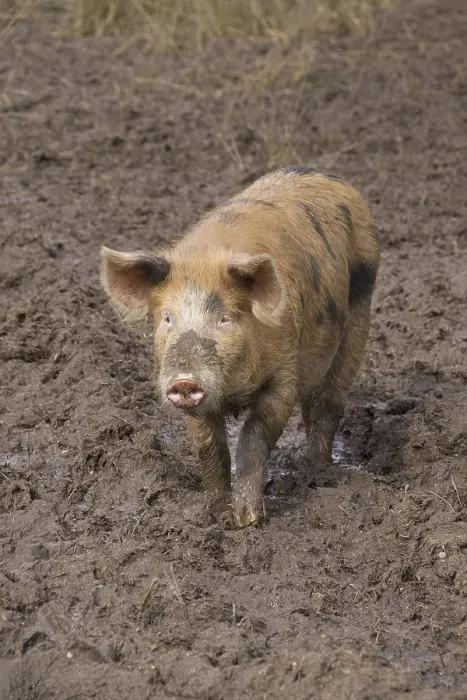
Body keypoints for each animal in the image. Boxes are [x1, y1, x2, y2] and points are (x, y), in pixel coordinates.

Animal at [100, 166, 380, 528]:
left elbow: (252, 438)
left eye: (226, 319)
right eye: (167, 318)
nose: (185, 380)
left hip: (360, 310)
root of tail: (329, 177)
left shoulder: (283, 378)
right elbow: (211, 447)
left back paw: (319, 474)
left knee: (327, 404)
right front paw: (216, 509)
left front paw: (247, 521)